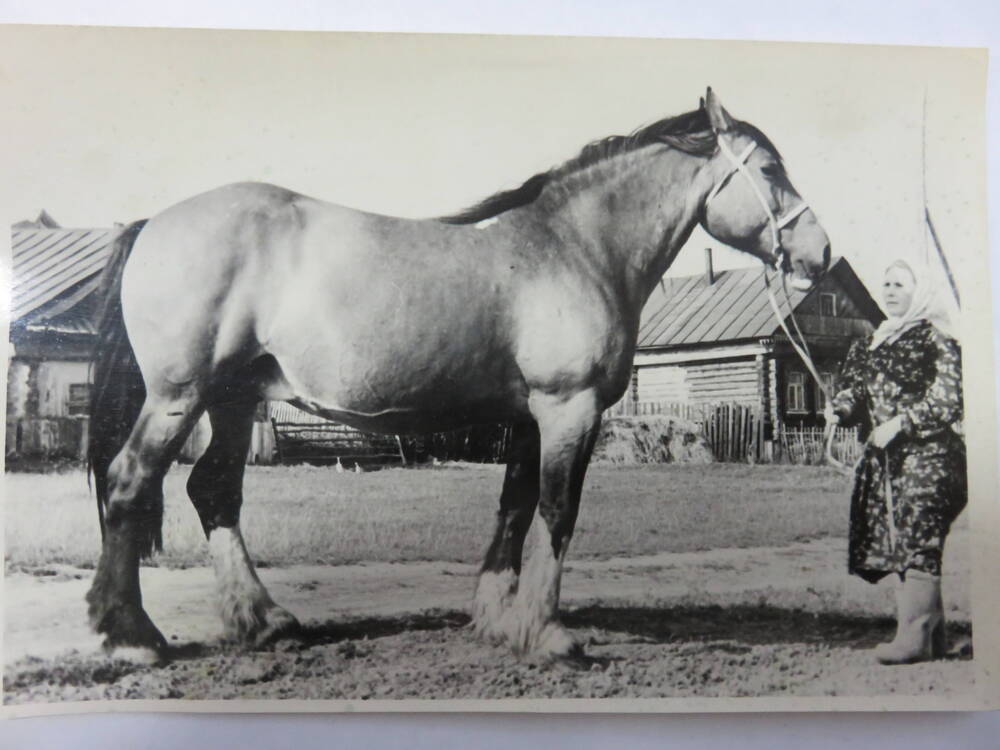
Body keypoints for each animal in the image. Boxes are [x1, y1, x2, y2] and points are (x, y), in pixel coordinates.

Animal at [88, 89, 828, 664]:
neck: (573, 248)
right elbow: (557, 511)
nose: (820, 253)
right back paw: (134, 636)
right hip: (179, 397)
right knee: (129, 484)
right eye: (770, 168)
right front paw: (548, 634)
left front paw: (500, 620)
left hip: (234, 401)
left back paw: (265, 622)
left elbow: (514, 508)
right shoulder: (569, 408)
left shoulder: (531, 417)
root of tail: (152, 223)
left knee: (213, 490)